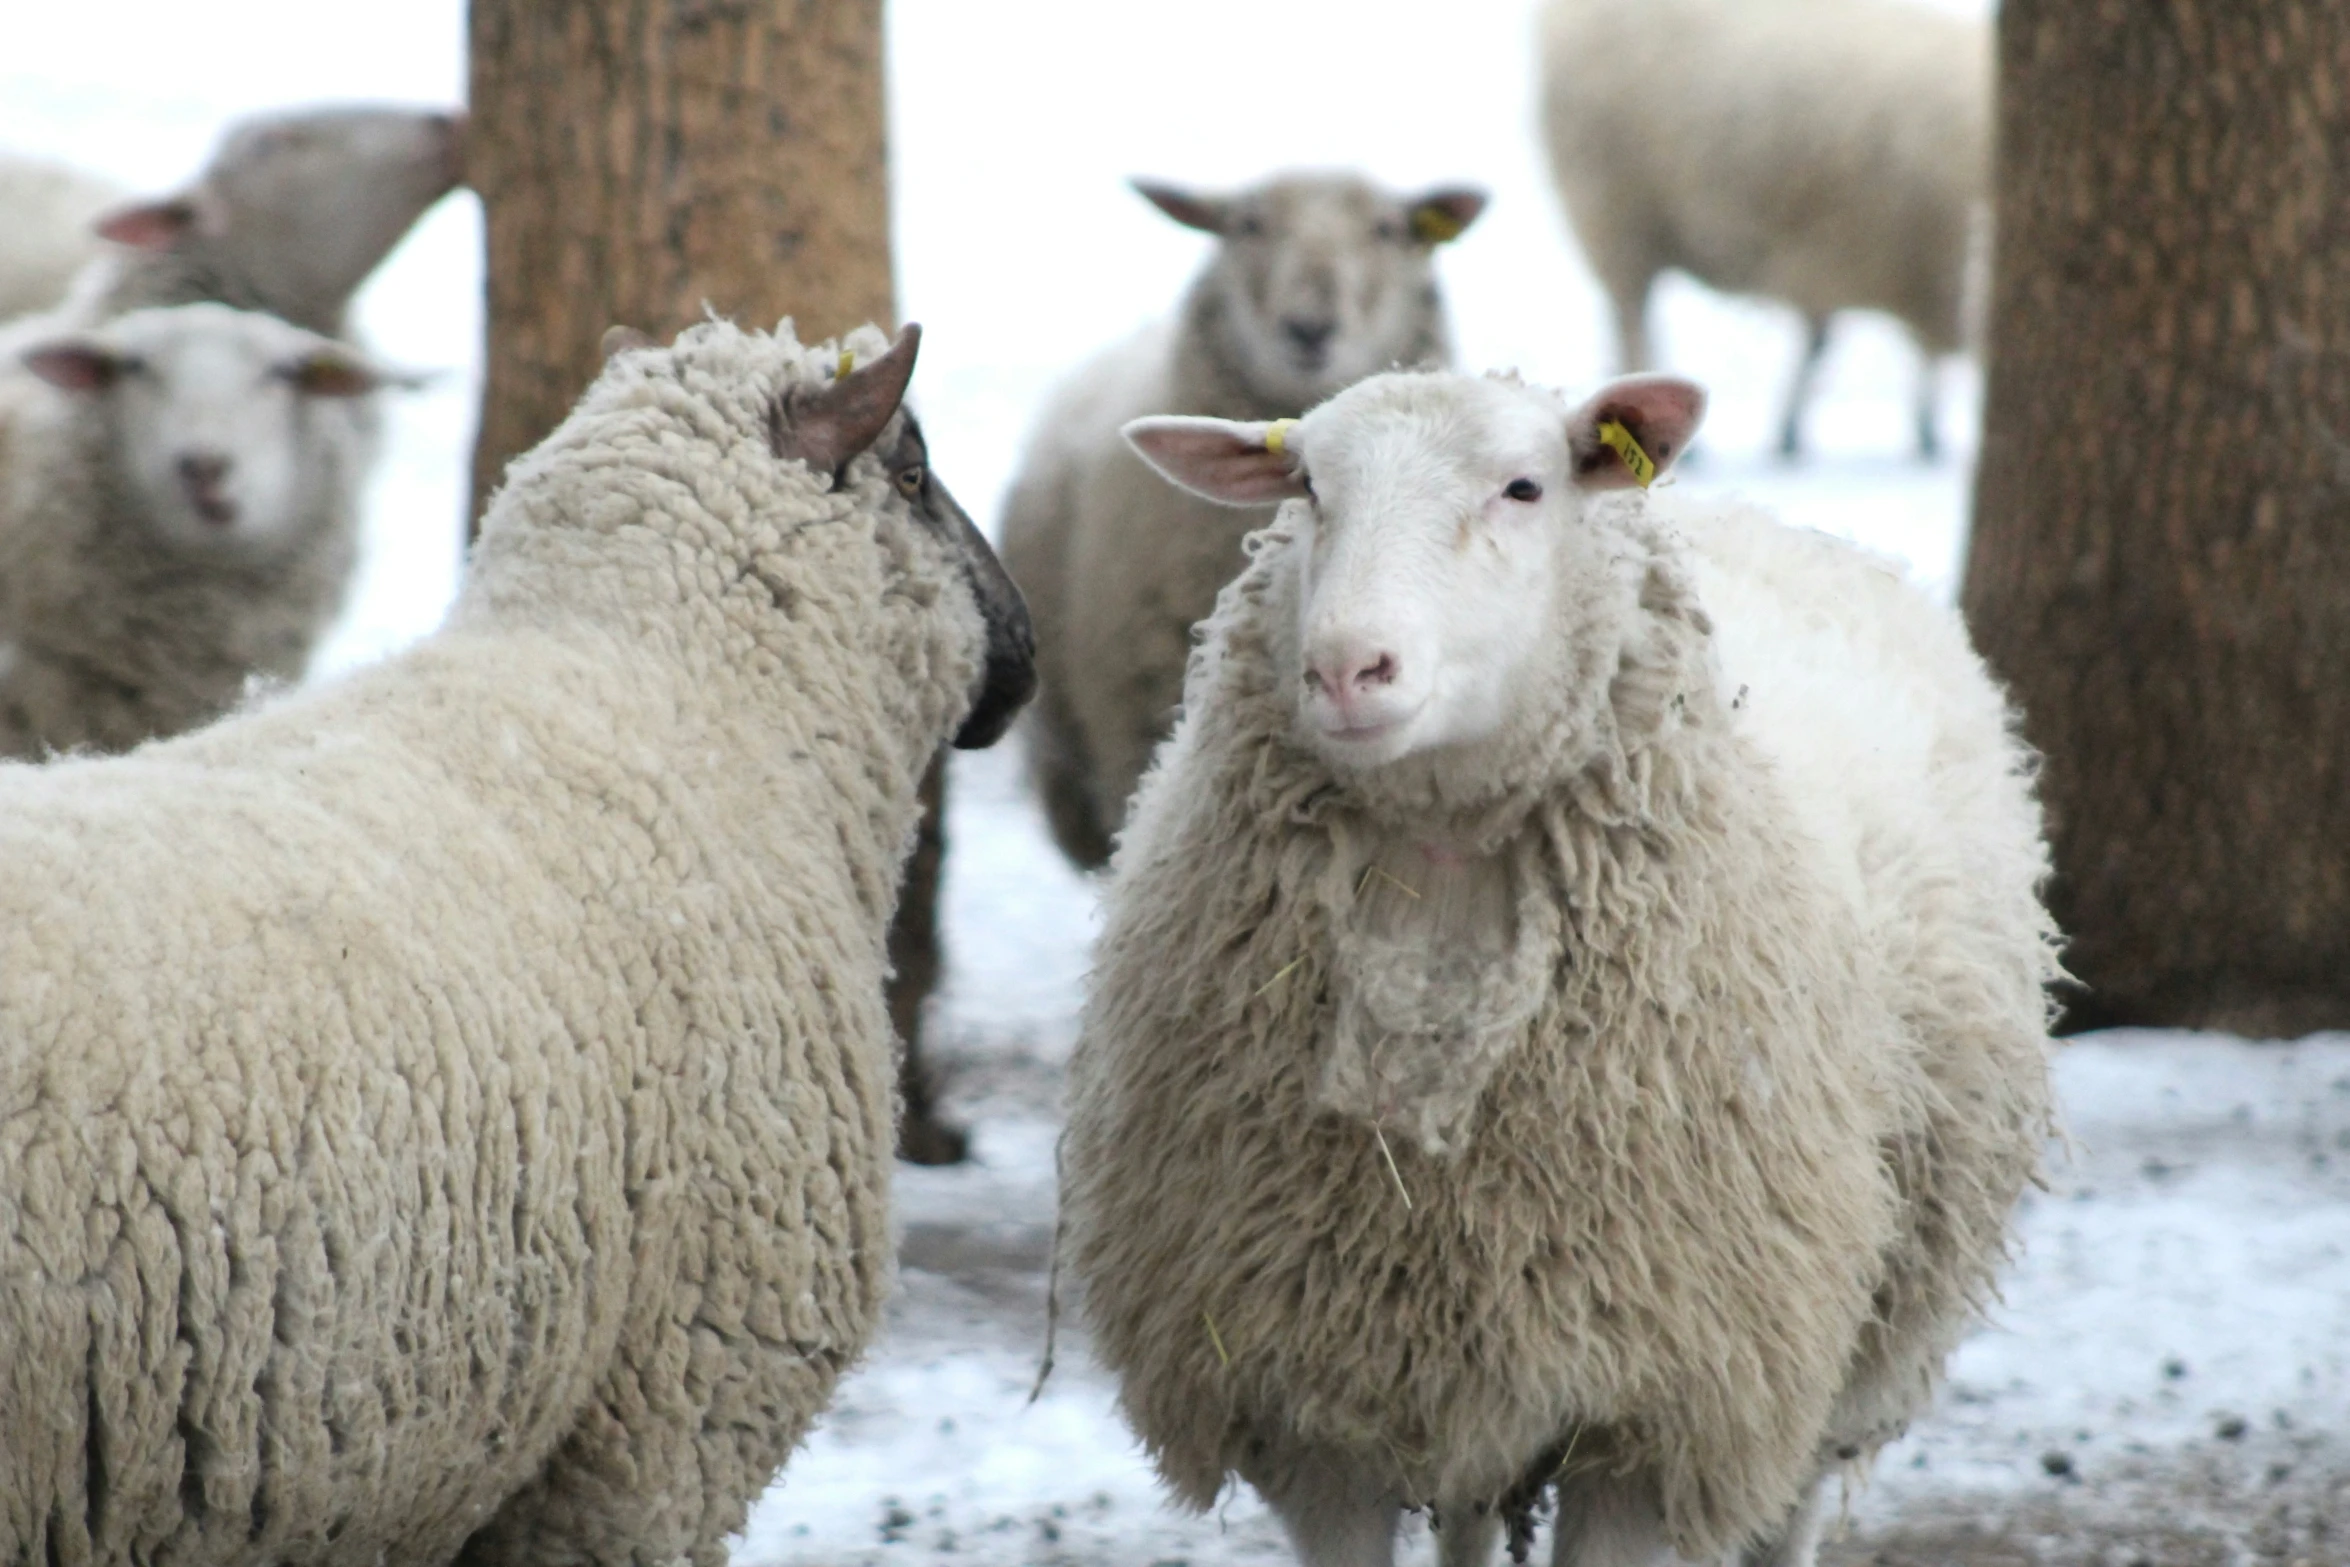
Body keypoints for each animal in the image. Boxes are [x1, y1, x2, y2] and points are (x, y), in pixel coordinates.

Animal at [1057, 364, 2049, 1567]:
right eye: (1307, 488)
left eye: (1523, 487)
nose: (1344, 667)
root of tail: (1776, 519)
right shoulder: (1309, 1403)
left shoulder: (1650, 1408)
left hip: (1849, 1323)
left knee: (1794, 1502)